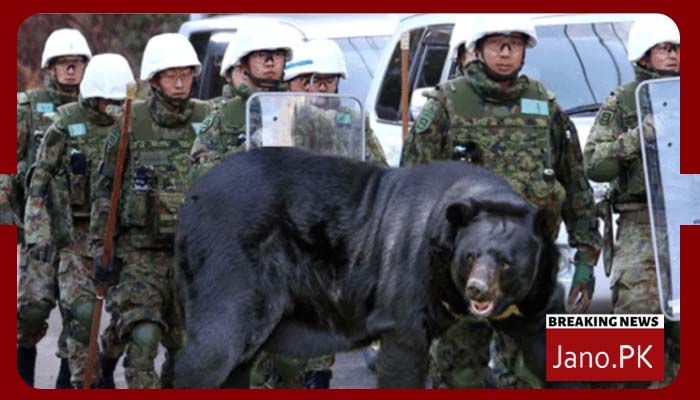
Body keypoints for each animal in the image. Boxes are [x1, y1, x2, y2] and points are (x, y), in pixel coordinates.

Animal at [173, 147, 561, 388]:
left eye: (506, 262)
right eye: (470, 256)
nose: (477, 289)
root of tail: (191, 198)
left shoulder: (533, 289)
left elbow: (544, 338)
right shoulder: (411, 270)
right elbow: (404, 345)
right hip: (230, 262)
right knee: (215, 348)